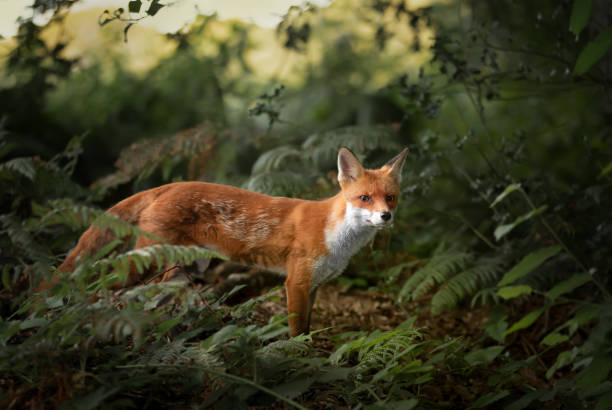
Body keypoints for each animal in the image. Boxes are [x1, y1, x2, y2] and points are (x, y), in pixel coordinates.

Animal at [51, 147, 406, 336]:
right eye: (364, 198)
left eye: (390, 198)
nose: (386, 216)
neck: (338, 237)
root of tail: (168, 186)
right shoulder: (296, 283)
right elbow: (295, 332)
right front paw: (299, 360)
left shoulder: (315, 286)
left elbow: (306, 328)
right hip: (150, 262)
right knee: (102, 282)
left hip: (183, 270)